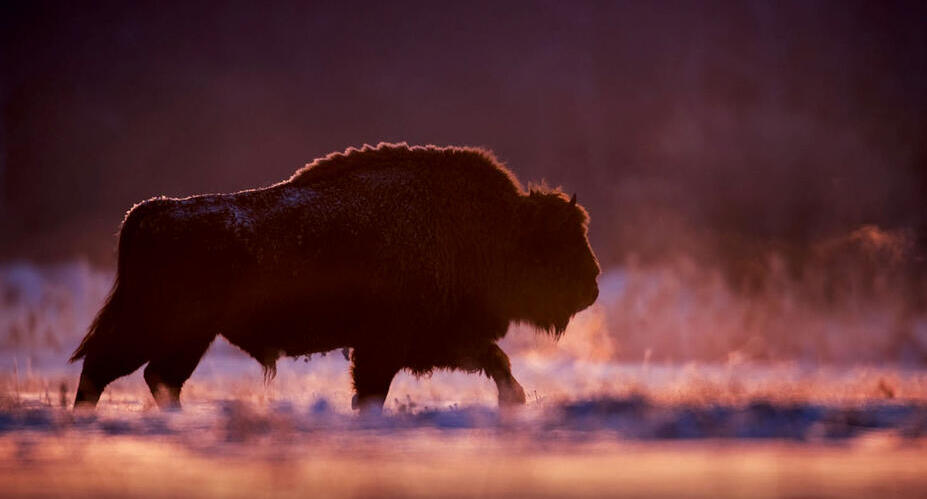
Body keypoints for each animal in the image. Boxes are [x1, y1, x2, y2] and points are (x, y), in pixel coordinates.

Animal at [76, 143, 604, 412]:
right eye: (557, 245)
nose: (593, 285)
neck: (493, 227)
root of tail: (152, 210)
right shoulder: (387, 346)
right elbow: (372, 392)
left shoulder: (440, 340)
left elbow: (497, 363)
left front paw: (515, 402)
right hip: (165, 328)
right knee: (111, 369)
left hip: (187, 336)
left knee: (154, 377)